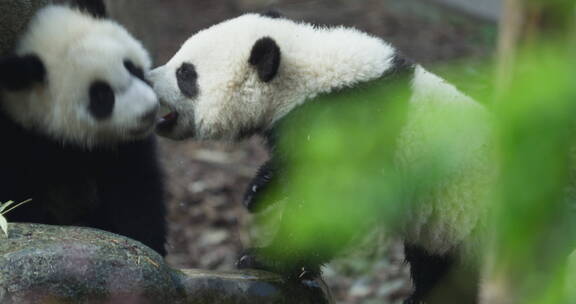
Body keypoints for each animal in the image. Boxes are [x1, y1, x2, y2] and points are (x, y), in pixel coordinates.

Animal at [0, 1, 166, 255]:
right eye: (102, 96)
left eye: (131, 67)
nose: (148, 111)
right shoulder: (18, 140)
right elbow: (17, 195)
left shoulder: (122, 146)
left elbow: (134, 186)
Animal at [151, 11, 492, 302]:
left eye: (185, 73)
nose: (149, 78)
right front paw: (257, 192)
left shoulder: (351, 121)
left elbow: (333, 200)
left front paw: (265, 257)